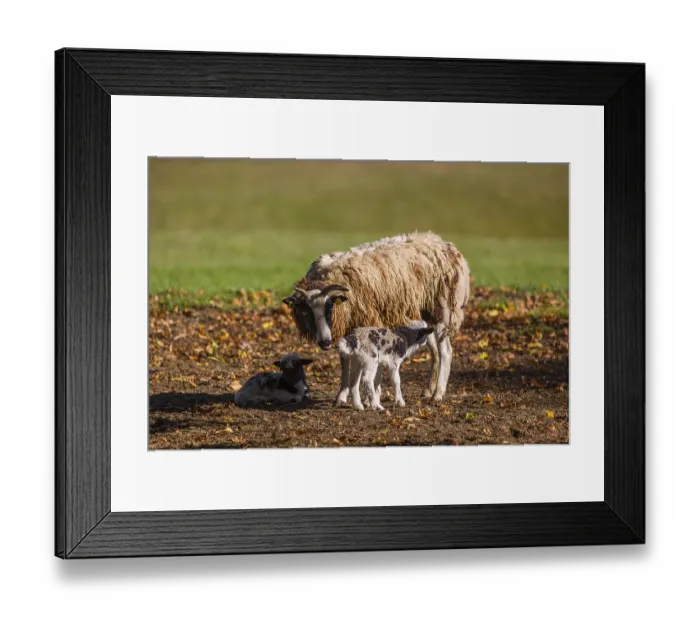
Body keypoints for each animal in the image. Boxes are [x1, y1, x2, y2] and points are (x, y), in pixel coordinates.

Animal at [282, 232, 470, 403]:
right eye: (305, 312)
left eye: (330, 308)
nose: (325, 342)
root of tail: (445, 245)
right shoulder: (348, 326)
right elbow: (345, 361)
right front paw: (342, 396)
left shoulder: (367, 322)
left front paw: (371, 396)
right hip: (424, 314)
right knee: (435, 352)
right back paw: (428, 390)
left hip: (442, 309)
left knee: (446, 351)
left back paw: (438, 394)